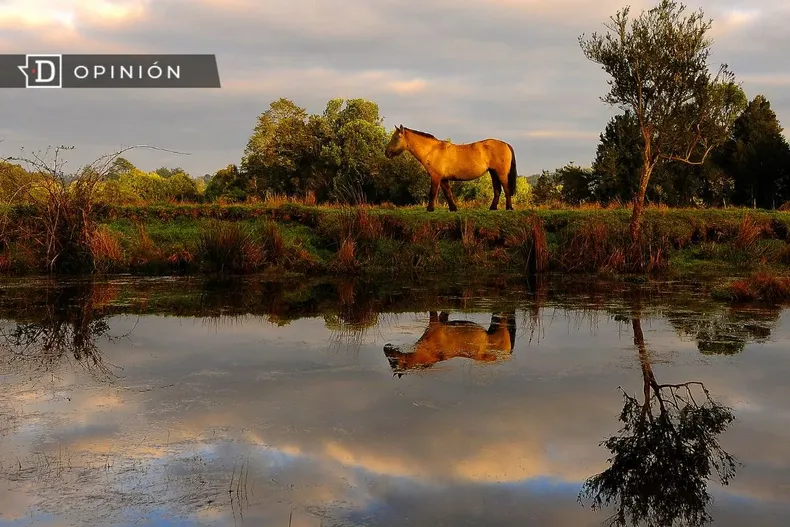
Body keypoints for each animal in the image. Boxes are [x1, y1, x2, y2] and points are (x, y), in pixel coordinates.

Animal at [383, 311, 517, 377]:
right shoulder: (441, 319)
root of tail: (506, 355)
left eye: (392, 362)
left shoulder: (434, 323)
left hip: (500, 328)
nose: (385, 347)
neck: (426, 351)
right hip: (495, 326)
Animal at [384, 125, 518, 212]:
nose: (386, 153)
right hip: (493, 173)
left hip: (501, 173)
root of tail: (505, 144)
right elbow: (448, 193)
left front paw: (430, 209)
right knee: (497, 190)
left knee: (506, 189)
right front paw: (453, 208)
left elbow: (432, 193)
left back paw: (509, 208)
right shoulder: (443, 179)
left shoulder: (436, 177)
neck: (432, 151)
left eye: (396, 138)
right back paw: (493, 208)